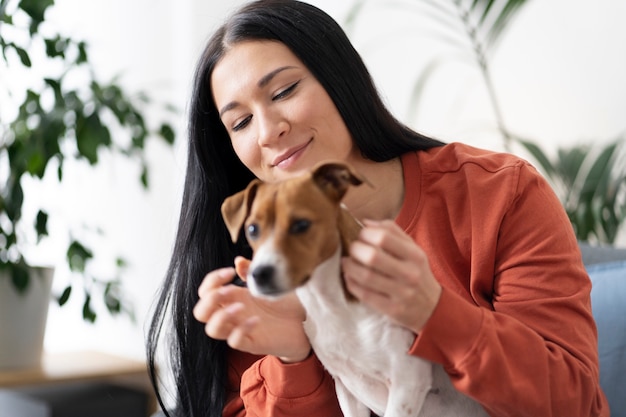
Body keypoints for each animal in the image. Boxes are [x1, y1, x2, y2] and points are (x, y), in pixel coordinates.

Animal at [219, 161, 488, 416]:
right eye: (252, 229)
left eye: (301, 224)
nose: (259, 274)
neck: (333, 304)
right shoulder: (347, 387)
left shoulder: (408, 382)